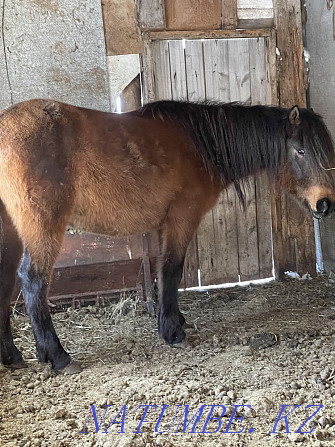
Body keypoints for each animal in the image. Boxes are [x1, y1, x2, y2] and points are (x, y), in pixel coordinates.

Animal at [0, 100, 335, 372]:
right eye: (300, 151)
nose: (326, 203)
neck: (200, 143)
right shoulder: (182, 218)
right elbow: (172, 269)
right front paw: (173, 331)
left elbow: (163, 272)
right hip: (43, 228)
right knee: (33, 281)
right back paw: (57, 357)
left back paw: (11, 356)